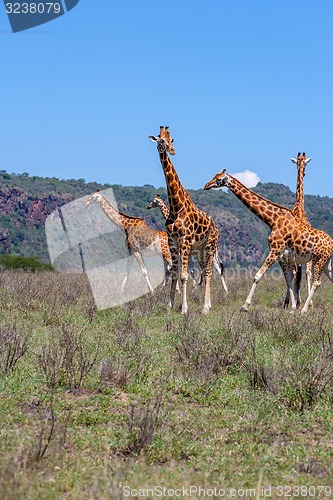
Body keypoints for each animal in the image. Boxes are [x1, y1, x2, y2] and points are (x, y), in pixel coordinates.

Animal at [149, 126, 219, 312]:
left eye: (171, 139)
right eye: (161, 140)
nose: (172, 151)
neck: (176, 205)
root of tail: (217, 227)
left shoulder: (185, 241)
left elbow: (184, 275)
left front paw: (184, 309)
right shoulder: (173, 242)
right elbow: (174, 274)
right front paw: (170, 306)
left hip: (210, 247)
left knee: (208, 272)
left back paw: (205, 308)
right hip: (200, 250)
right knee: (205, 273)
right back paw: (208, 305)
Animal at [202, 170, 332, 314]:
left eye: (218, 179)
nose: (206, 186)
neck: (272, 219)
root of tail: (331, 243)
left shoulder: (275, 251)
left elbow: (258, 276)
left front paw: (245, 306)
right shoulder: (283, 256)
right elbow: (288, 280)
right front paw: (292, 308)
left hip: (319, 260)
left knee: (316, 282)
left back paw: (304, 310)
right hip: (326, 262)